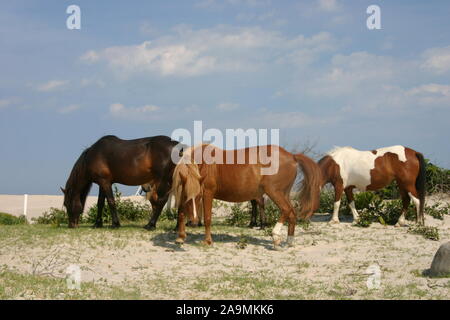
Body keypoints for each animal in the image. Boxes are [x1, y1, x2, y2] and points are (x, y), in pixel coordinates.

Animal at [171, 144, 322, 249]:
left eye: (198, 197)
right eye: (187, 196)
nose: (193, 223)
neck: (203, 163)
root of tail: (292, 156)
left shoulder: (207, 193)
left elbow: (208, 218)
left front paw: (207, 241)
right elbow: (181, 213)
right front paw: (180, 237)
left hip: (274, 192)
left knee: (286, 210)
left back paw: (275, 236)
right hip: (284, 193)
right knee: (292, 213)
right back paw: (289, 242)